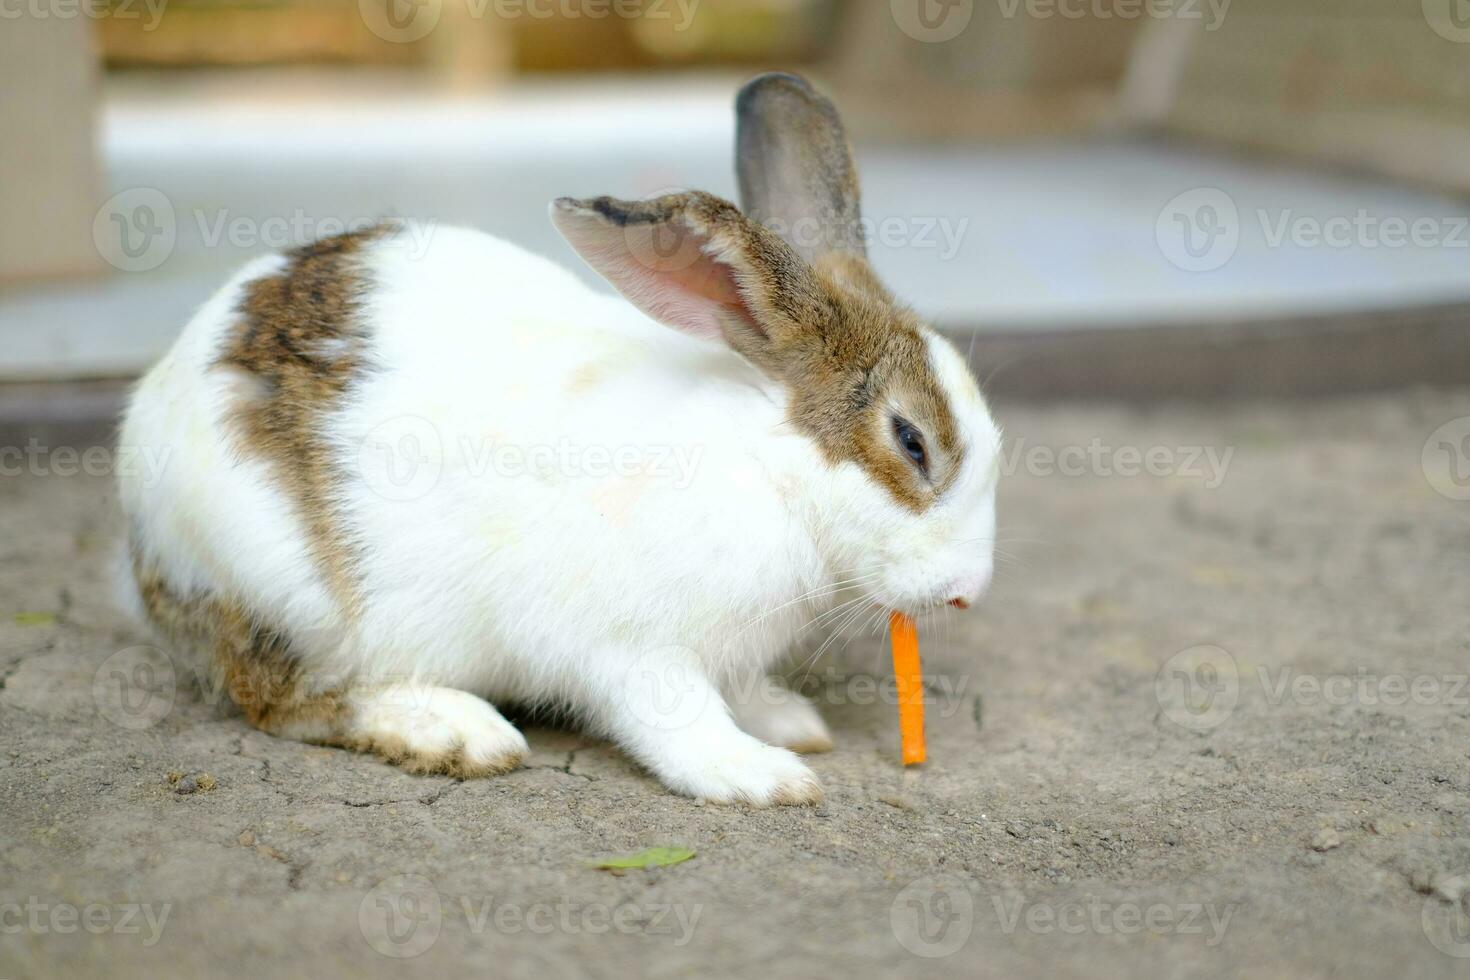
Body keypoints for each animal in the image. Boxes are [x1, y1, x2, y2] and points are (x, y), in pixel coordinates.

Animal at [120, 70, 1005, 805]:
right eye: (912, 442)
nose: (970, 590)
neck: (769, 468)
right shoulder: (632, 649)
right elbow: (675, 719)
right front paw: (760, 775)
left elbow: (741, 690)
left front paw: (788, 722)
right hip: (285, 591)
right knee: (280, 699)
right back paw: (455, 732)